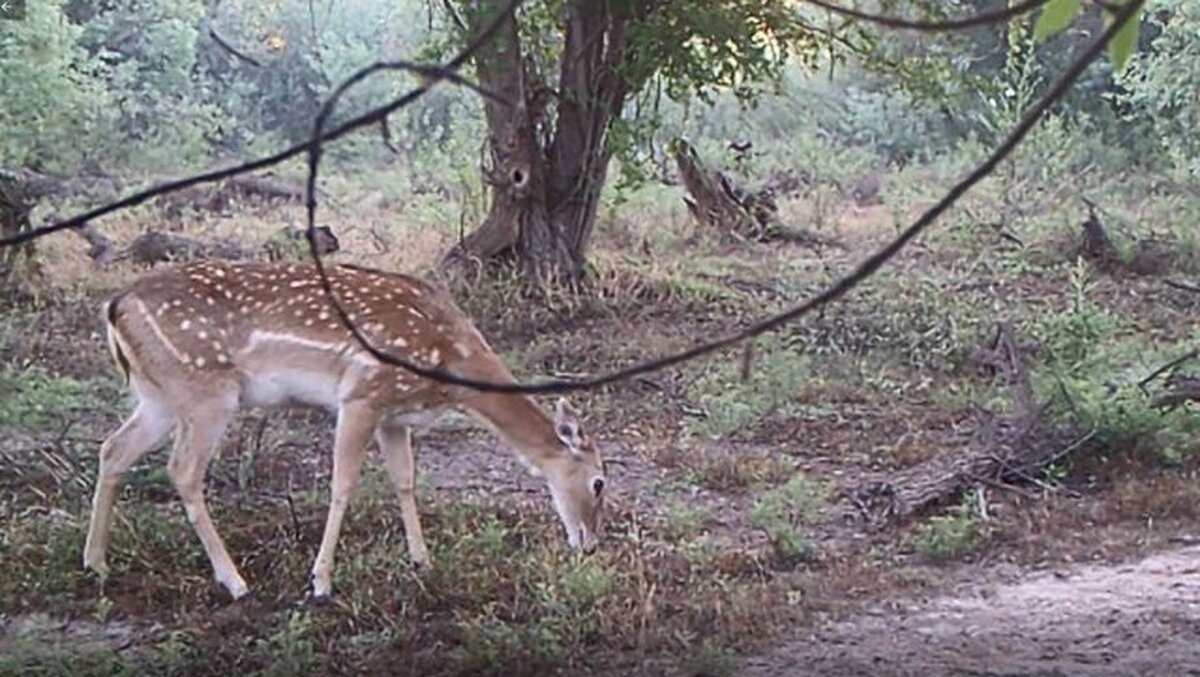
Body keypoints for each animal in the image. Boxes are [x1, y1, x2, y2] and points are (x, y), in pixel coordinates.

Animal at [87, 259, 609, 597]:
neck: (449, 366)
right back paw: (235, 582)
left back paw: (96, 563)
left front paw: (422, 560)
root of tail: (115, 305)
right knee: (182, 470)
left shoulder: (394, 415)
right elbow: (342, 485)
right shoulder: (361, 394)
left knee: (113, 449)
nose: (589, 544)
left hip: (158, 394)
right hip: (205, 389)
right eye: (599, 482)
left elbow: (405, 480)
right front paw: (321, 581)